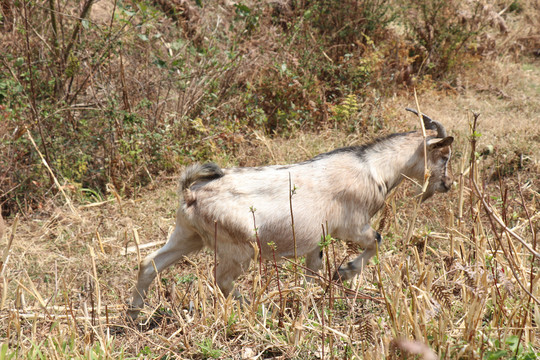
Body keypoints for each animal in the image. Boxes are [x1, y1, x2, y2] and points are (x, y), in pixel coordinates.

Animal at [129, 107, 454, 318]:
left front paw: (314, 298)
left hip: (187, 236)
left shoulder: (318, 239)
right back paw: (258, 307)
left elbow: (314, 270)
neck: (373, 167)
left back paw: (134, 314)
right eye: (445, 155)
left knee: (149, 264)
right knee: (221, 280)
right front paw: (344, 272)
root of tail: (191, 193)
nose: (448, 184)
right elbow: (377, 240)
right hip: (240, 248)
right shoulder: (353, 226)